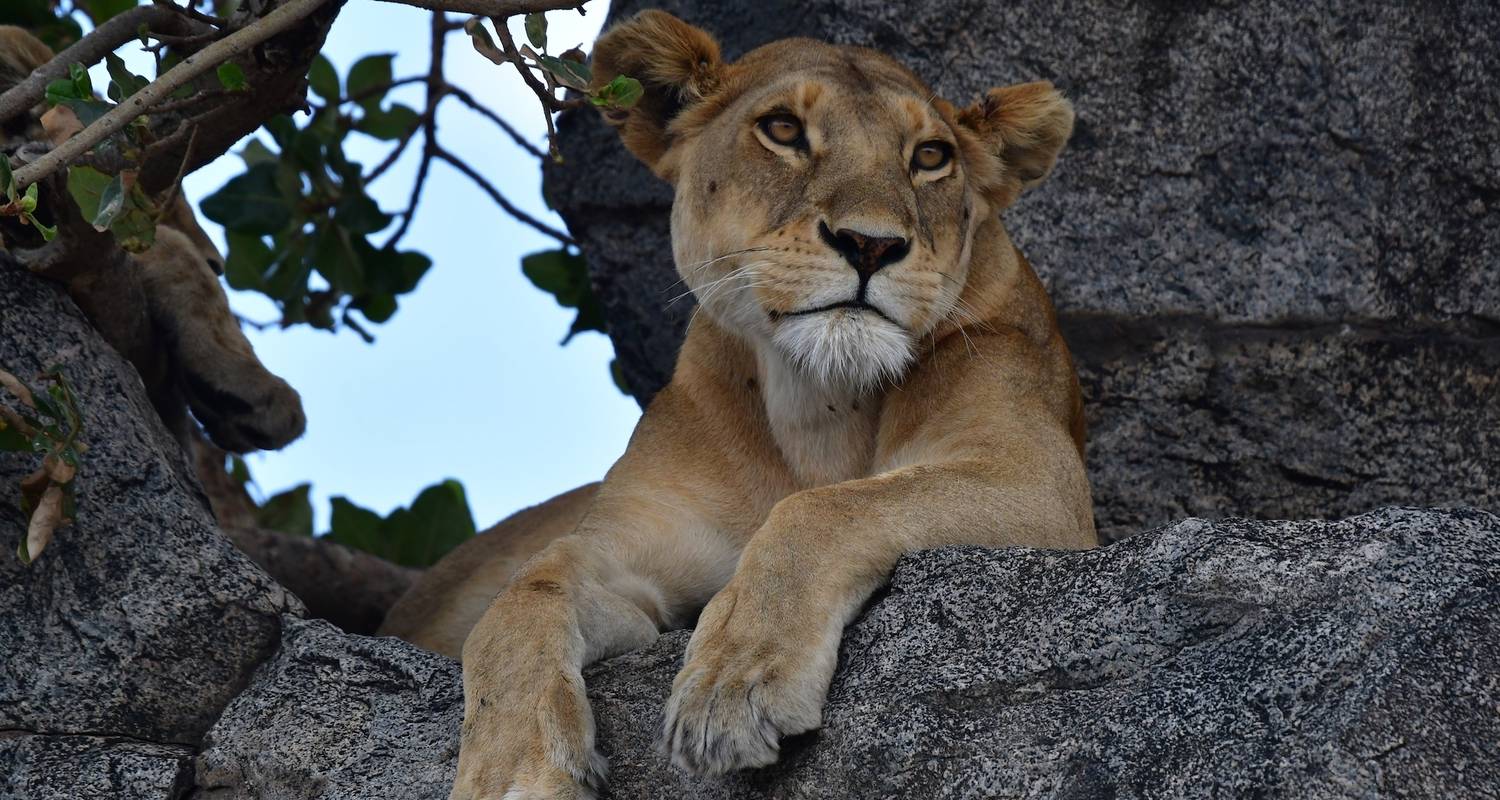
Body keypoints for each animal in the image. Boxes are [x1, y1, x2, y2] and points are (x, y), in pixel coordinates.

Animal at [381, 9, 1098, 792]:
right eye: (783, 130)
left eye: (931, 156)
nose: (870, 245)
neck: (819, 405)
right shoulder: (632, 544)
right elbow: (522, 598)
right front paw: (516, 769)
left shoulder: (1041, 481)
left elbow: (822, 510)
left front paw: (731, 689)